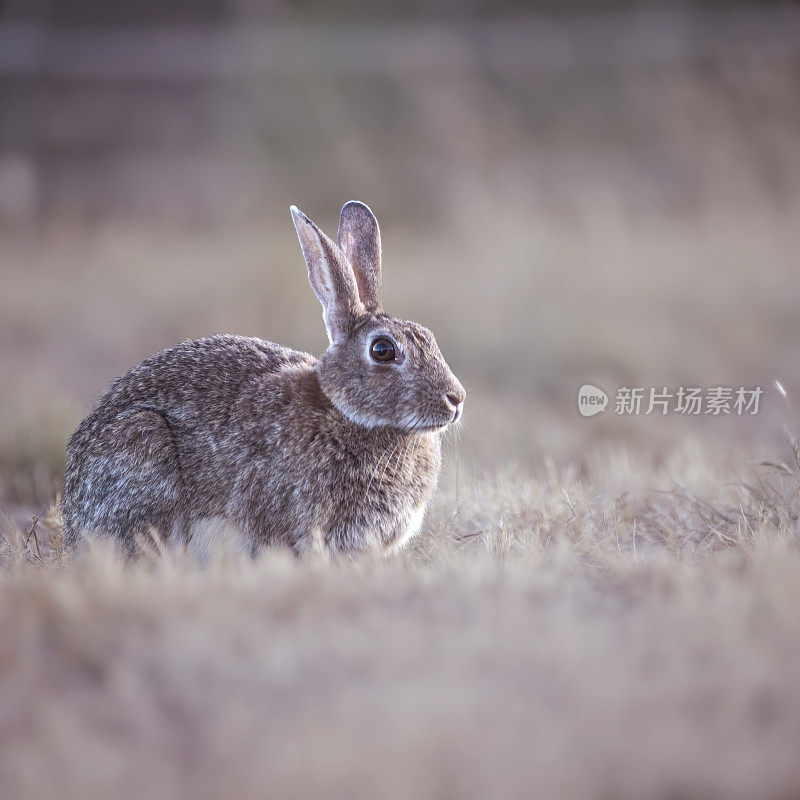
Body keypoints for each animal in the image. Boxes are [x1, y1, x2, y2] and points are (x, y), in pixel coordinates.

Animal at [62, 200, 466, 556]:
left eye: (429, 336)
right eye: (382, 350)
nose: (456, 399)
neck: (345, 414)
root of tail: (72, 520)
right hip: (143, 444)